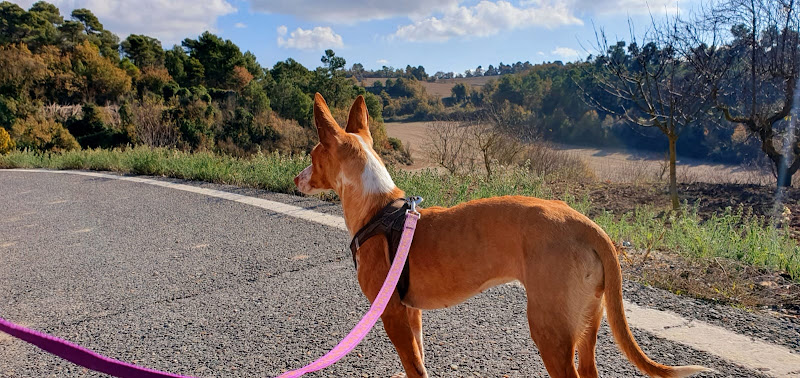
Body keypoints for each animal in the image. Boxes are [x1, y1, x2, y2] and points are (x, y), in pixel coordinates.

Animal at [294, 92, 708, 378]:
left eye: (312, 155)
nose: (296, 179)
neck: (380, 209)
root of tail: (587, 225)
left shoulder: (392, 314)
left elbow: (414, 366)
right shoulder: (411, 313)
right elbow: (421, 361)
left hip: (549, 328)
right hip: (588, 320)